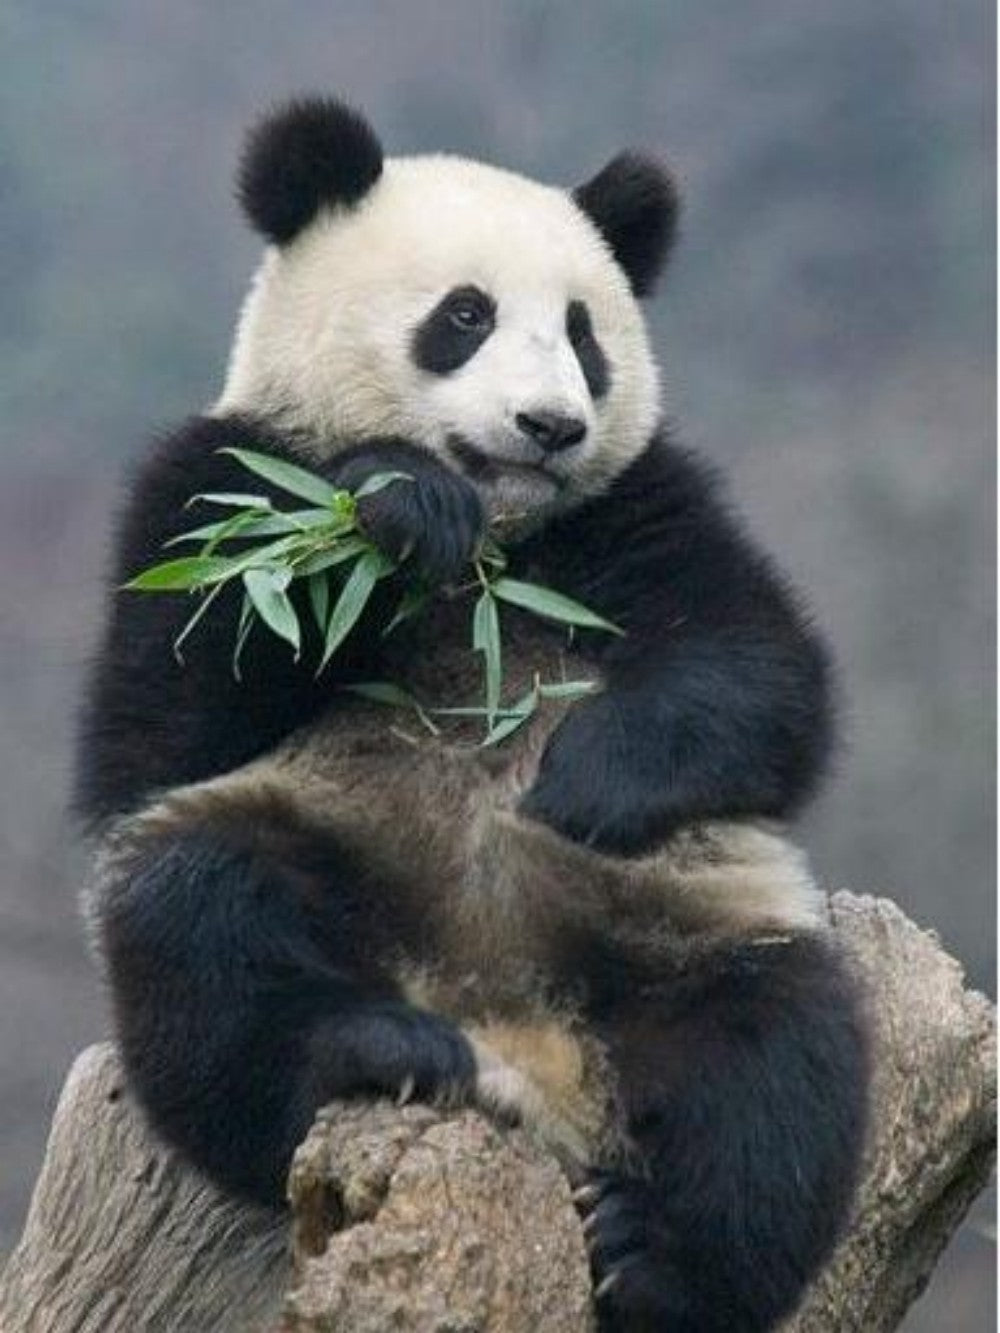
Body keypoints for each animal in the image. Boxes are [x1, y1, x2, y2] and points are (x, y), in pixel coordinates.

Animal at [76, 97, 869, 1332]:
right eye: (465, 315)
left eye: (585, 336)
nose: (550, 426)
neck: (496, 550)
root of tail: (515, 1044)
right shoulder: (226, 484)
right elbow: (160, 718)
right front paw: (399, 499)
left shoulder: (634, 504)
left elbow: (761, 675)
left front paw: (580, 783)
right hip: (316, 842)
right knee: (202, 931)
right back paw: (377, 1046)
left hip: (681, 924)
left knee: (773, 1070)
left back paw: (648, 1258)